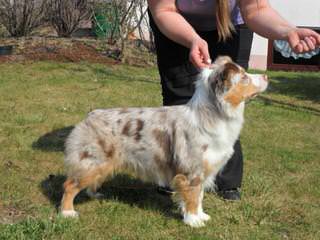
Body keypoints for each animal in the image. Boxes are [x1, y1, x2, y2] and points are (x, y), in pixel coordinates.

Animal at [59, 55, 268, 227]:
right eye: (244, 78)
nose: (267, 77)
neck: (212, 116)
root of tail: (90, 115)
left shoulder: (203, 169)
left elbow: (199, 196)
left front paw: (201, 215)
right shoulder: (192, 171)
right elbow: (193, 196)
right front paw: (193, 221)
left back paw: (94, 194)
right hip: (92, 161)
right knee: (70, 185)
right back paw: (67, 212)